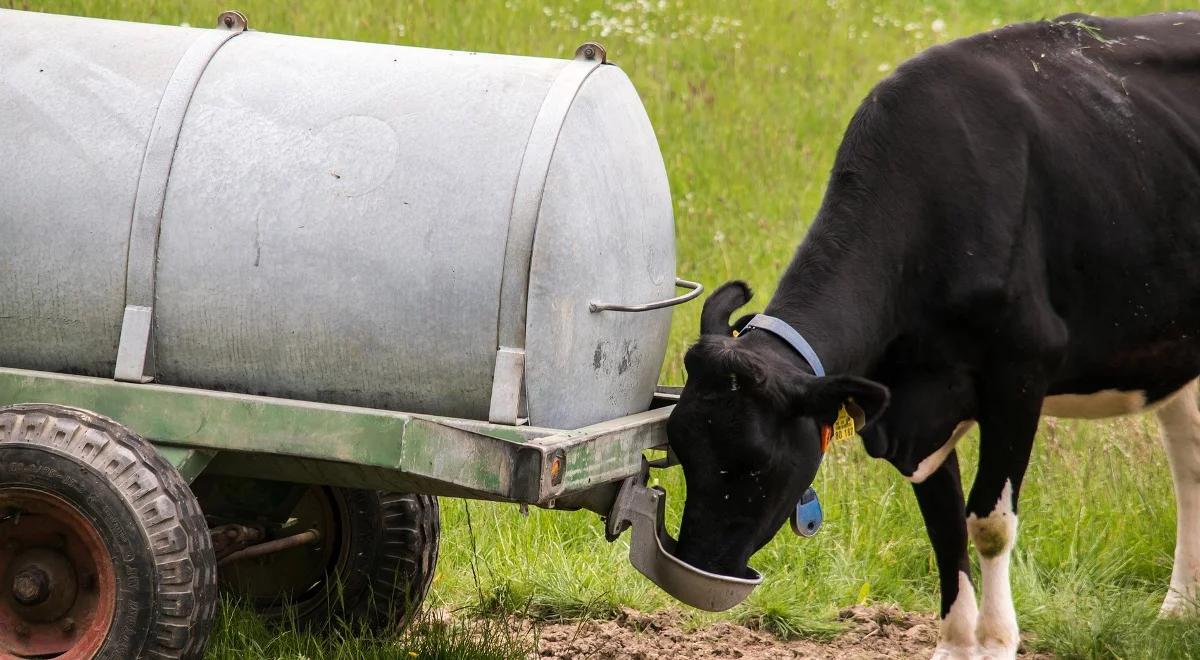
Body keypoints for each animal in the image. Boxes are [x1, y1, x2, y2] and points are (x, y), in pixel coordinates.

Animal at [667, 12, 1200, 657]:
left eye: (754, 464)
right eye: (679, 447)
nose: (695, 566)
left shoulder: (1020, 373)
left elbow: (988, 523)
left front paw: (996, 641)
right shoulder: (910, 406)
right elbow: (944, 526)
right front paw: (954, 642)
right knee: (1189, 456)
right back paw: (1178, 608)